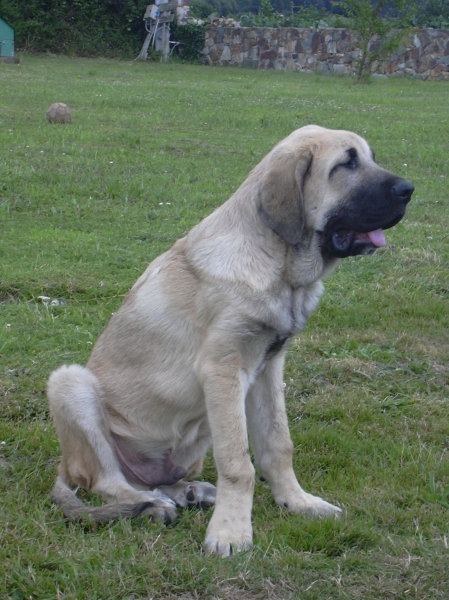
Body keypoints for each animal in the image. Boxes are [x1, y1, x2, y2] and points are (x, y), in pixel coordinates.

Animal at [48, 124, 412, 556]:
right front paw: (231, 532)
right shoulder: (223, 369)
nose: (409, 189)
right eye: (347, 164)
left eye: (370, 158)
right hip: (69, 382)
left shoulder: (268, 368)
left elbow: (278, 444)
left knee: (155, 479)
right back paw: (152, 504)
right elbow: (239, 464)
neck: (279, 267)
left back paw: (189, 492)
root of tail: (64, 463)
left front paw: (297, 501)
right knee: (109, 482)